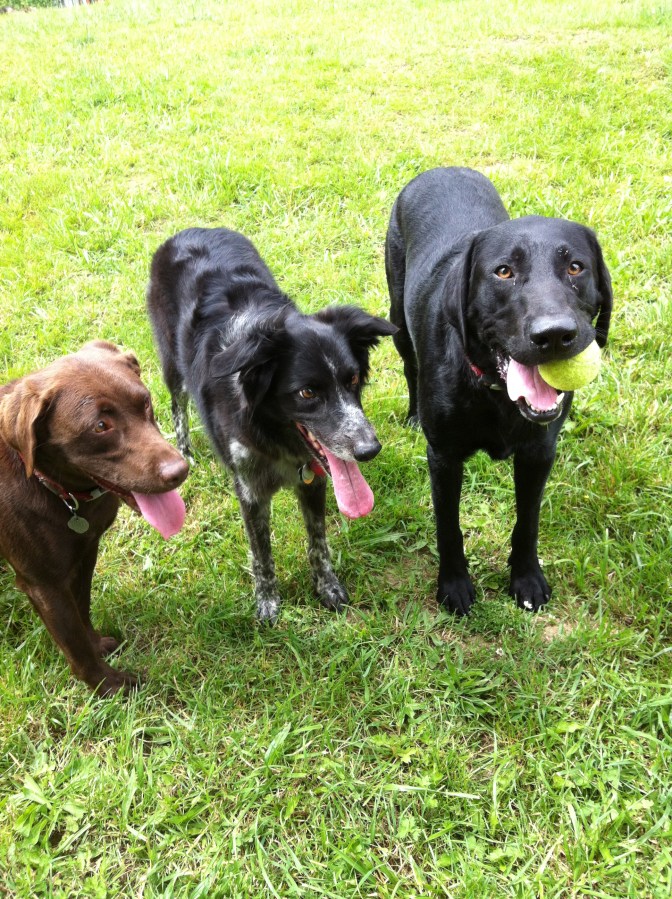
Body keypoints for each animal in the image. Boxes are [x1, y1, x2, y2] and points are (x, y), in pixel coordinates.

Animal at [0, 341, 189, 694]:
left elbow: (82, 608)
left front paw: (97, 643)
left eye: (145, 402)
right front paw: (109, 686)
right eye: (100, 427)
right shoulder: (44, 583)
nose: (180, 471)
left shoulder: (86, 551)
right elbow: (75, 645)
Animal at [147, 227, 396, 623]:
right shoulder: (249, 491)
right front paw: (267, 604)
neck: (275, 439)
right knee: (177, 405)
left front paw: (327, 588)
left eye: (354, 379)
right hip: (172, 364)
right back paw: (184, 451)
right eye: (307, 392)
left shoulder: (313, 480)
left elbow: (318, 541)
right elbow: (261, 553)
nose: (369, 450)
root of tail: (188, 232)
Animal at [385, 167, 612, 614]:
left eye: (576, 267)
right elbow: (448, 527)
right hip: (398, 318)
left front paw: (526, 579)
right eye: (503, 271)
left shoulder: (538, 454)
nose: (555, 335)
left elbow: (528, 522)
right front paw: (454, 586)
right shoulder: (444, 457)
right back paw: (413, 415)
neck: (494, 393)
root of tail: (441, 168)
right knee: (409, 365)